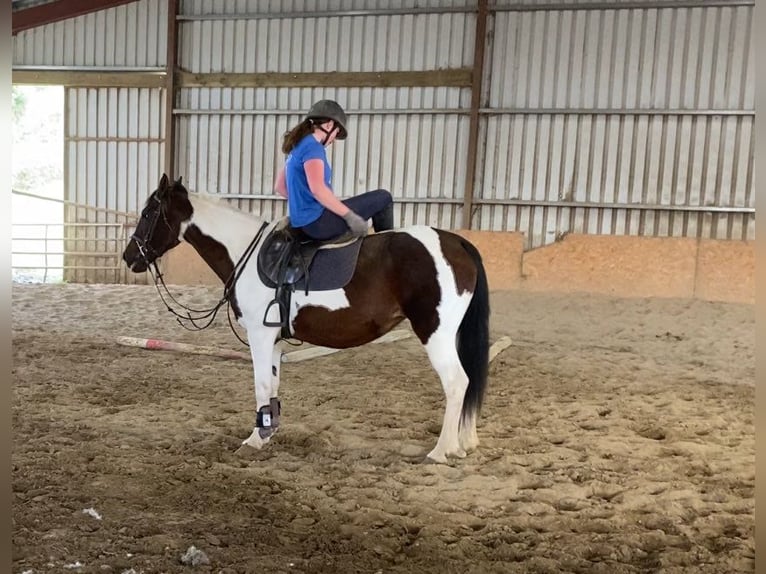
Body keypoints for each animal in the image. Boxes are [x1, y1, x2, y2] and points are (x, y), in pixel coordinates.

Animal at [121, 173, 492, 466]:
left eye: (149, 212)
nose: (128, 257)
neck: (247, 252)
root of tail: (456, 242)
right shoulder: (273, 339)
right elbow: (272, 385)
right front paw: (267, 433)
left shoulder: (259, 335)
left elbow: (260, 385)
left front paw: (253, 441)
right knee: (469, 379)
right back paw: (463, 444)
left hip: (435, 332)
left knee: (457, 382)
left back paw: (441, 451)